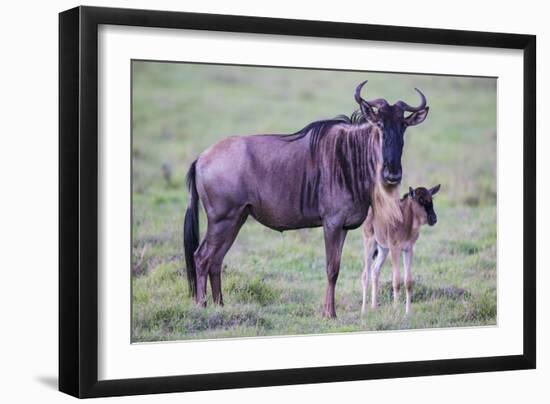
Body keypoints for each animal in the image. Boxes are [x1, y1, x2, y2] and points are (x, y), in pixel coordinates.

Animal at [364, 185, 442, 314]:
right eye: (420, 200)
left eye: (431, 199)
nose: (433, 219)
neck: (404, 221)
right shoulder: (395, 249)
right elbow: (396, 281)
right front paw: (396, 310)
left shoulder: (408, 250)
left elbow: (408, 281)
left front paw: (408, 312)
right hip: (370, 243)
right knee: (366, 274)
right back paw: (363, 311)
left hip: (383, 249)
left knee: (375, 270)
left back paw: (374, 308)